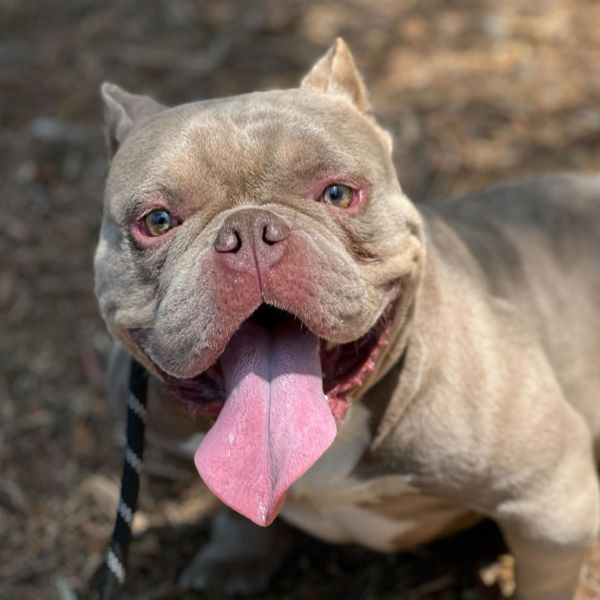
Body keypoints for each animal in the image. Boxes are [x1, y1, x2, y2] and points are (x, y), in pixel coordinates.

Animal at [96, 39, 600, 599]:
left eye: (338, 193)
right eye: (157, 221)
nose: (249, 230)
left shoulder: (550, 505)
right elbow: (239, 513)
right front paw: (234, 558)